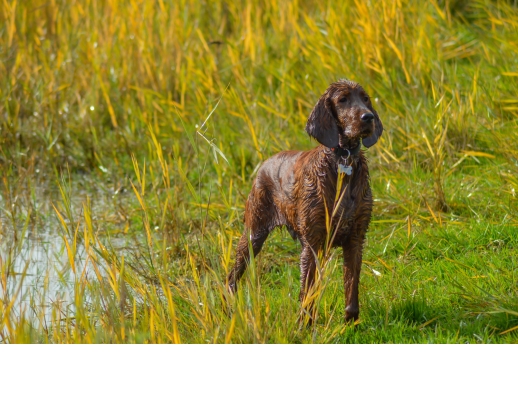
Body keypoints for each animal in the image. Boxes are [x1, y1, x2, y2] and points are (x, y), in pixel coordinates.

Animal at [225, 79, 384, 322]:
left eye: (365, 98)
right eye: (342, 99)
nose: (368, 117)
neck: (342, 162)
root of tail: (264, 164)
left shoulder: (355, 238)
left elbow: (351, 288)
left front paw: (351, 323)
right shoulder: (312, 243)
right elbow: (307, 294)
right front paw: (304, 325)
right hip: (253, 234)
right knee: (233, 276)